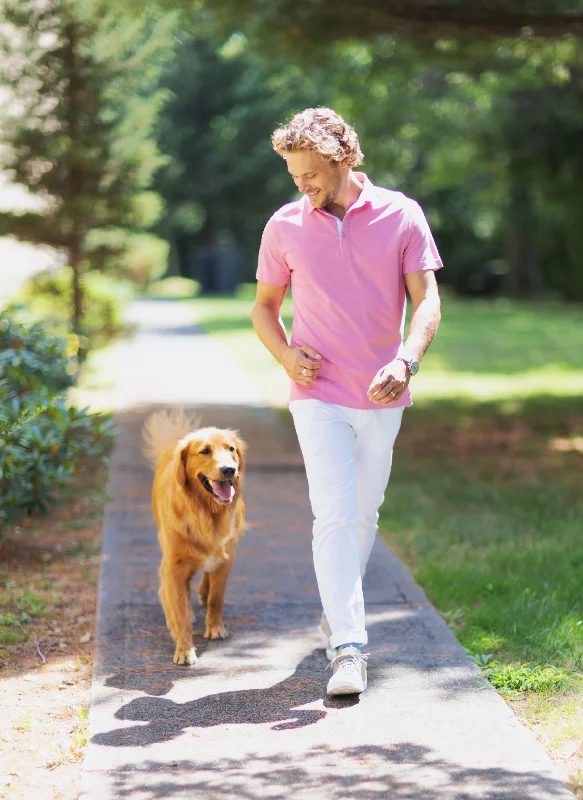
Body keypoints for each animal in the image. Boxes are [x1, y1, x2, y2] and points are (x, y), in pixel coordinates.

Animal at [145, 410, 248, 664]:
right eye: (204, 451)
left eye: (231, 449)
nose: (229, 470)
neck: (206, 512)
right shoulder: (174, 566)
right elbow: (180, 609)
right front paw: (184, 649)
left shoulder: (227, 558)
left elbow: (216, 598)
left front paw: (215, 627)